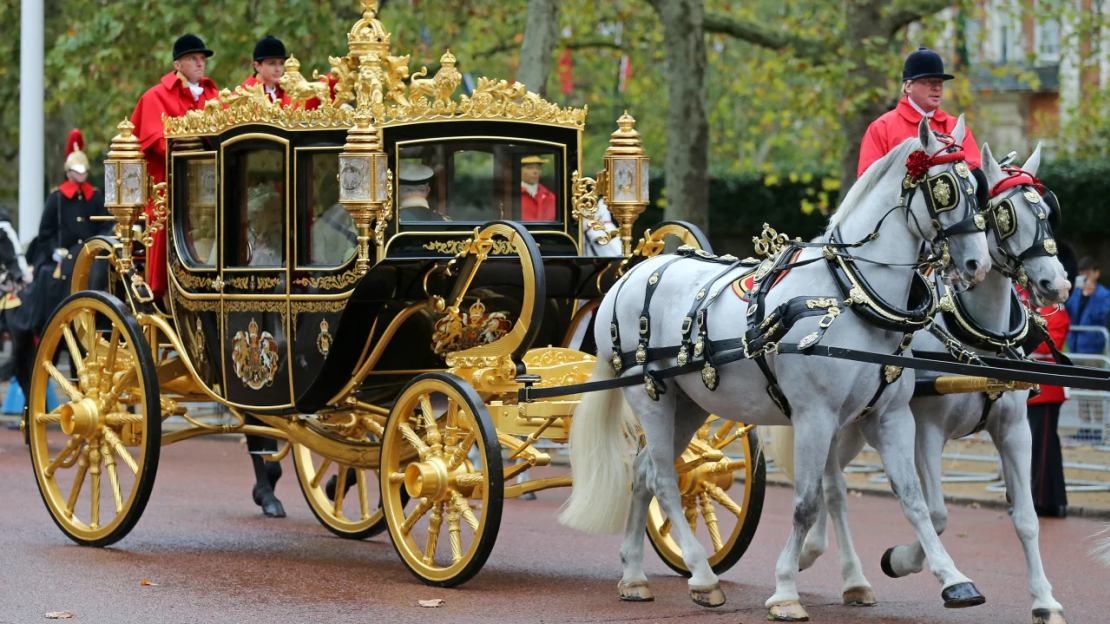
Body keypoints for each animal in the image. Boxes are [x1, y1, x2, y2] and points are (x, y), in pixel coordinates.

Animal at [559, 116, 994, 617]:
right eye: (944, 188)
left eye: (977, 187)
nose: (977, 264)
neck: (851, 295)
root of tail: (628, 276)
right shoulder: (814, 417)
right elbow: (805, 503)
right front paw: (786, 589)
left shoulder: (889, 417)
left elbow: (913, 500)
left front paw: (954, 580)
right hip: (650, 396)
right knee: (665, 478)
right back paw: (703, 576)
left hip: (688, 405)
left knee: (646, 470)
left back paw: (634, 574)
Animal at [772, 141, 1074, 621]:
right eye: (1002, 214)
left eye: (1048, 209)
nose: (1057, 284)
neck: (979, 338)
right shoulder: (927, 431)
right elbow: (936, 513)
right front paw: (901, 561)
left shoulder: (1015, 430)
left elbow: (1027, 519)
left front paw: (1044, 601)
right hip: (837, 422)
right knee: (831, 487)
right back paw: (821, 562)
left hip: (851, 426)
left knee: (828, 484)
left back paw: (830, 566)